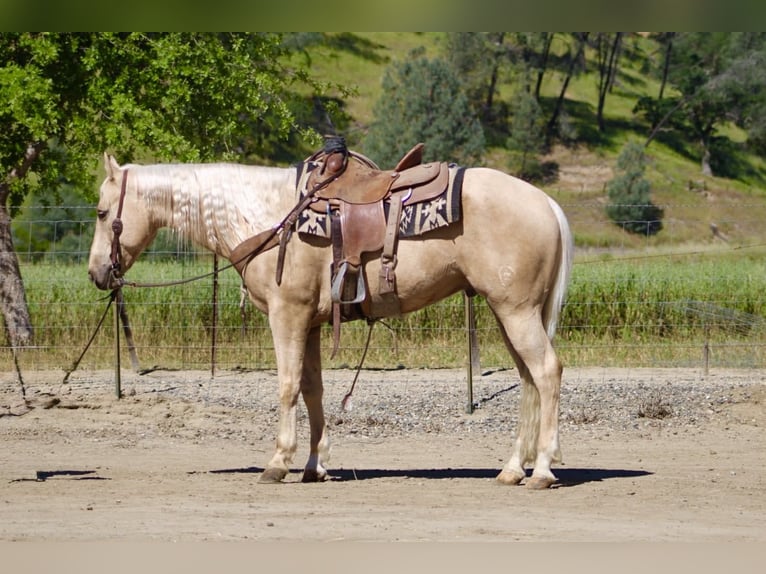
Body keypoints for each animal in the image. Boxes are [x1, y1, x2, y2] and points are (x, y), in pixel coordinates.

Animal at [88, 148, 573, 489]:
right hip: (509, 312)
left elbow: (286, 386)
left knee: (547, 372)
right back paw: (512, 469)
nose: (96, 273)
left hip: (516, 311)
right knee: (529, 379)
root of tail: (547, 203)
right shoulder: (313, 322)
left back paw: (543, 470)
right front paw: (314, 465)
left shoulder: (287, 316)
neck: (268, 217)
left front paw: (278, 462)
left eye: (101, 211)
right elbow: (312, 390)